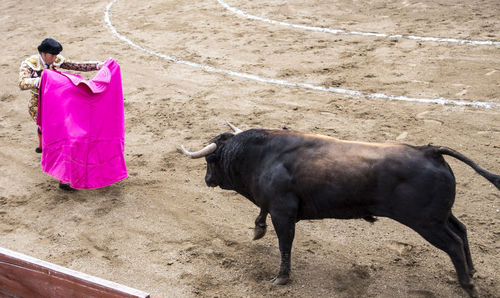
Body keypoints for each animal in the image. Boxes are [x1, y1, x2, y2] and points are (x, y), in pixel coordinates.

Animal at [181, 122, 500, 296]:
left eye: (210, 161)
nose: (207, 180)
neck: (261, 156)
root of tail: (430, 151)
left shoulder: (284, 213)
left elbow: (285, 244)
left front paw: (282, 277)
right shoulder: (274, 205)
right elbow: (263, 211)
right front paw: (258, 230)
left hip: (427, 223)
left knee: (453, 243)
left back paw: (467, 284)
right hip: (440, 217)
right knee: (462, 230)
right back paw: (472, 271)